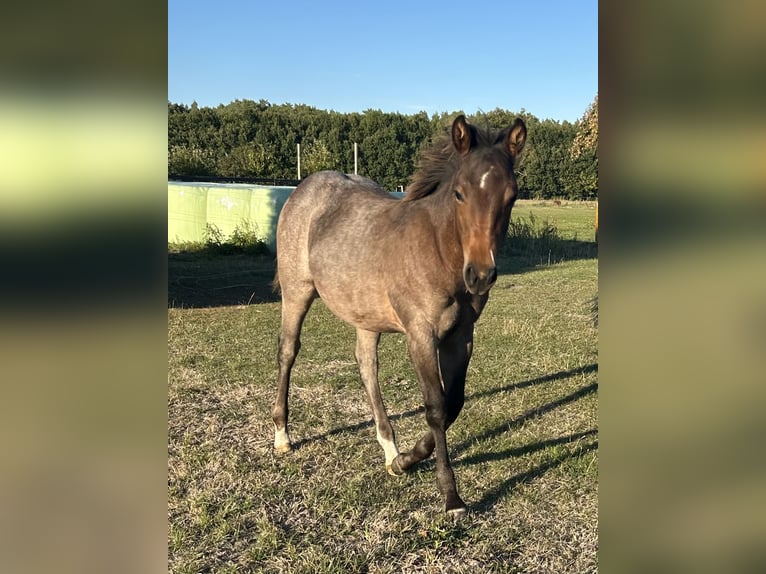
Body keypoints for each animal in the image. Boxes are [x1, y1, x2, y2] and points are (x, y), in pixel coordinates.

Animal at [272, 114, 527, 516]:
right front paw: (450, 495)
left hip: (365, 313)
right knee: (288, 351)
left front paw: (404, 460)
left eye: (512, 195)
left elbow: (454, 403)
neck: (439, 251)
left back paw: (389, 447)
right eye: (459, 193)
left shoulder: (462, 337)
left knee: (366, 365)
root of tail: (305, 187)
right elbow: (436, 407)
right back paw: (282, 435)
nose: (481, 275)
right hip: (297, 291)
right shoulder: (420, 333)